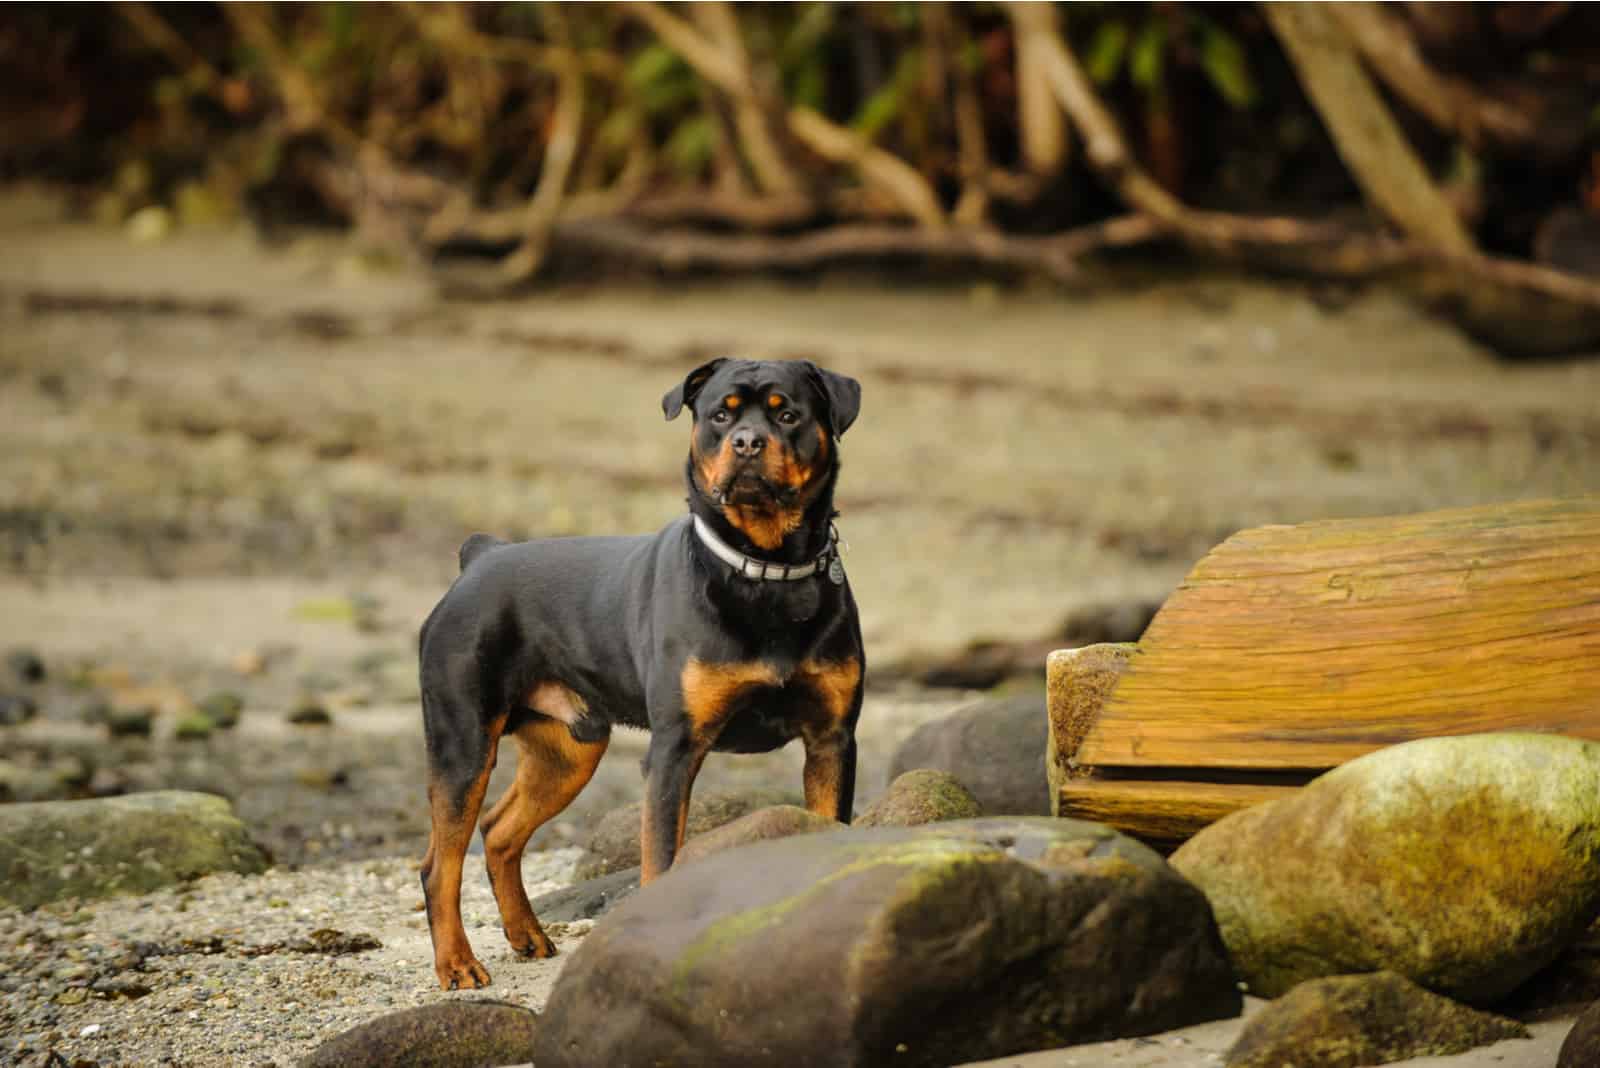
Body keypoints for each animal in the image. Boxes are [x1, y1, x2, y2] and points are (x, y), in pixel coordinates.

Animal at [412, 361, 864, 991]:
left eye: (789, 414)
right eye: (719, 415)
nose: (748, 442)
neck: (765, 571)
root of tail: (480, 559)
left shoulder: (831, 741)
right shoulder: (675, 749)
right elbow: (661, 857)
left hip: (569, 751)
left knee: (500, 831)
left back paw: (527, 935)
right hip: (464, 742)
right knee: (440, 863)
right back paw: (457, 964)